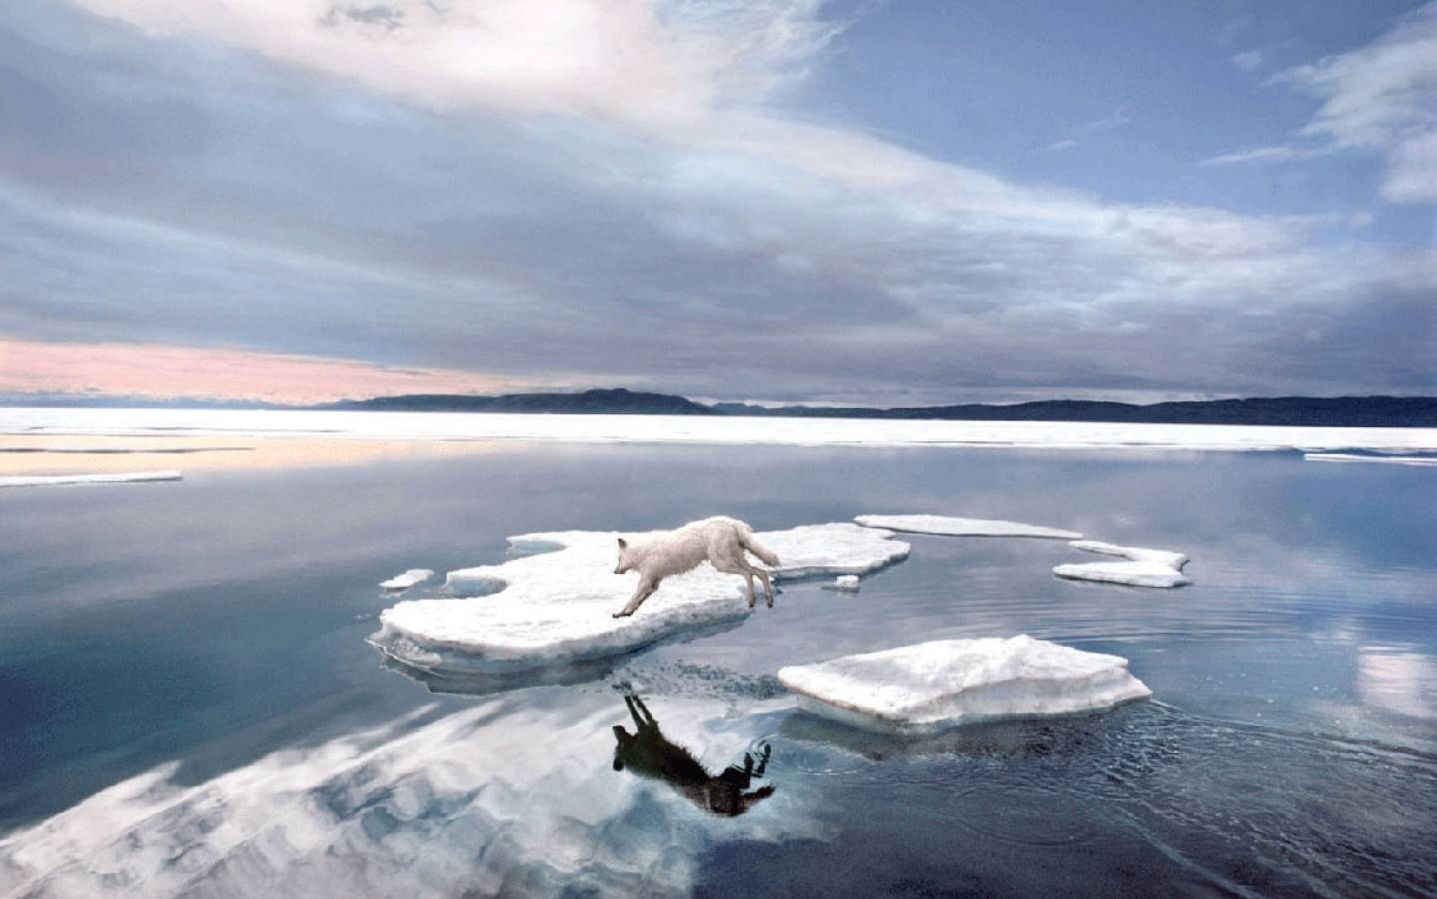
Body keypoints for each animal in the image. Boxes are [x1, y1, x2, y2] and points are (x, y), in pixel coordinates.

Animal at [612, 516, 781, 614]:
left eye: (619, 559)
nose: (615, 571)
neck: (641, 552)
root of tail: (734, 522)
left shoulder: (647, 579)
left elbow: (633, 597)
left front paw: (620, 612)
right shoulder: (654, 582)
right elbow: (640, 600)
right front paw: (629, 612)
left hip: (721, 563)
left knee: (749, 574)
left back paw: (753, 599)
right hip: (733, 560)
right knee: (761, 572)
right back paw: (767, 600)